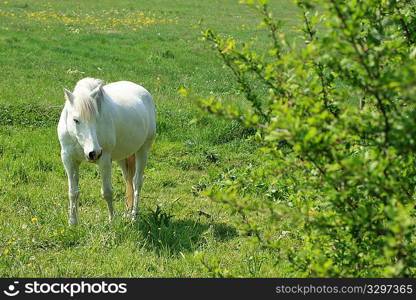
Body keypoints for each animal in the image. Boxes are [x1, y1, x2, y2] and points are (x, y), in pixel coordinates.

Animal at [58, 78, 156, 225]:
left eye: (96, 118)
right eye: (76, 120)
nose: (94, 153)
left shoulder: (104, 159)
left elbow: (107, 191)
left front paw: (112, 219)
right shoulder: (68, 159)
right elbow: (73, 192)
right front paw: (73, 222)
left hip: (143, 150)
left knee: (137, 182)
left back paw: (133, 216)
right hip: (122, 157)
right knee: (128, 180)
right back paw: (127, 213)